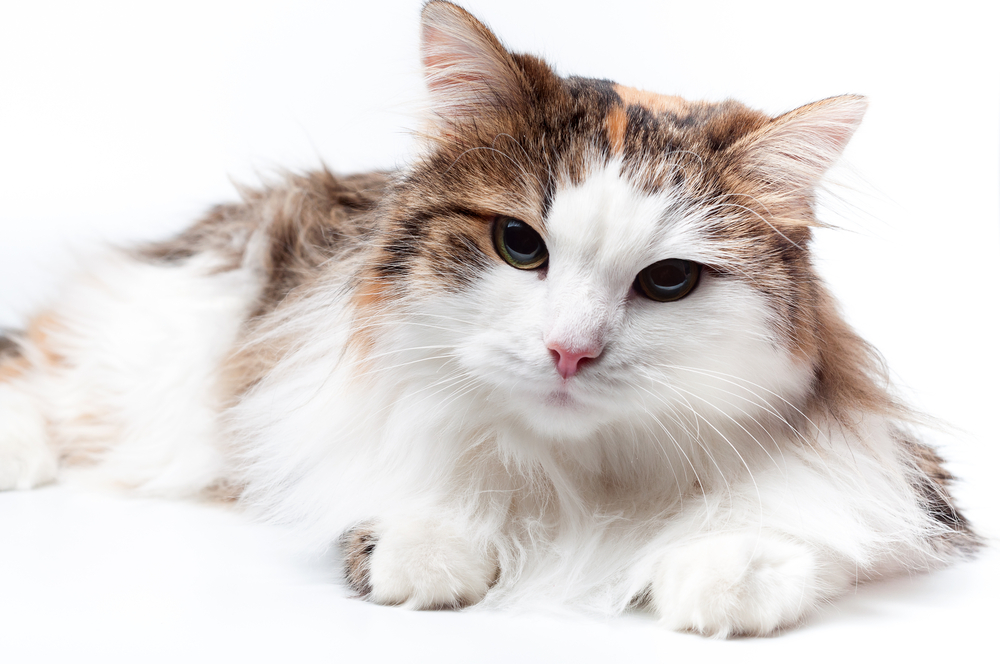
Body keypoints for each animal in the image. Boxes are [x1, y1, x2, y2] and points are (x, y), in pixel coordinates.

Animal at [0, 1, 980, 640]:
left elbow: (803, 522)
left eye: (668, 281)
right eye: (518, 244)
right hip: (168, 344)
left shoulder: (902, 475)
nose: (570, 352)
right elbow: (412, 511)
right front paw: (432, 545)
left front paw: (724, 571)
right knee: (40, 353)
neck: (579, 476)